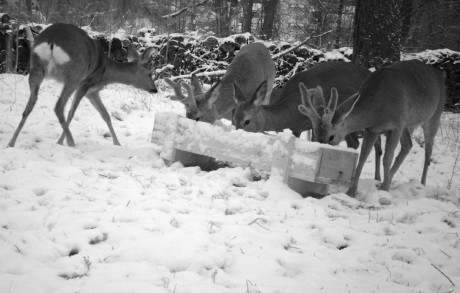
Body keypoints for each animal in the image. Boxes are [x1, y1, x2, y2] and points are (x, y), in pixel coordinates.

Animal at [6, 22, 158, 147]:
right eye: (149, 73)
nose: (155, 89)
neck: (105, 72)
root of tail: (52, 40)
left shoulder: (92, 92)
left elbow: (105, 115)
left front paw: (117, 143)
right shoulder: (85, 85)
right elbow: (72, 113)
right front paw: (61, 142)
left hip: (36, 69)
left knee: (29, 107)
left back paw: (11, 143)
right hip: (74, 74)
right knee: (59, 107)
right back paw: (71, 142)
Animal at [232, 61, 382, 180]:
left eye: (247, 121)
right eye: (234, 119)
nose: (236, 134)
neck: (289, 113)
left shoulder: (305, 126)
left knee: (362, 143)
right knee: (365, 144)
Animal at [298, 59, 446, 196]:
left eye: (331, 137)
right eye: (315, 134)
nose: (322, 149)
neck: (378, 109)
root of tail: (439, 74)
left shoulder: (397, 124)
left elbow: (387, 158)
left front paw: (385, 190)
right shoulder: (373, 128)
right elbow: (363, 156)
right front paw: (351, 191)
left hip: (434, 116)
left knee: (428, 150)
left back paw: (421, 183)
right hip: (407, 124)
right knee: (408, 145)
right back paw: (388, 180)